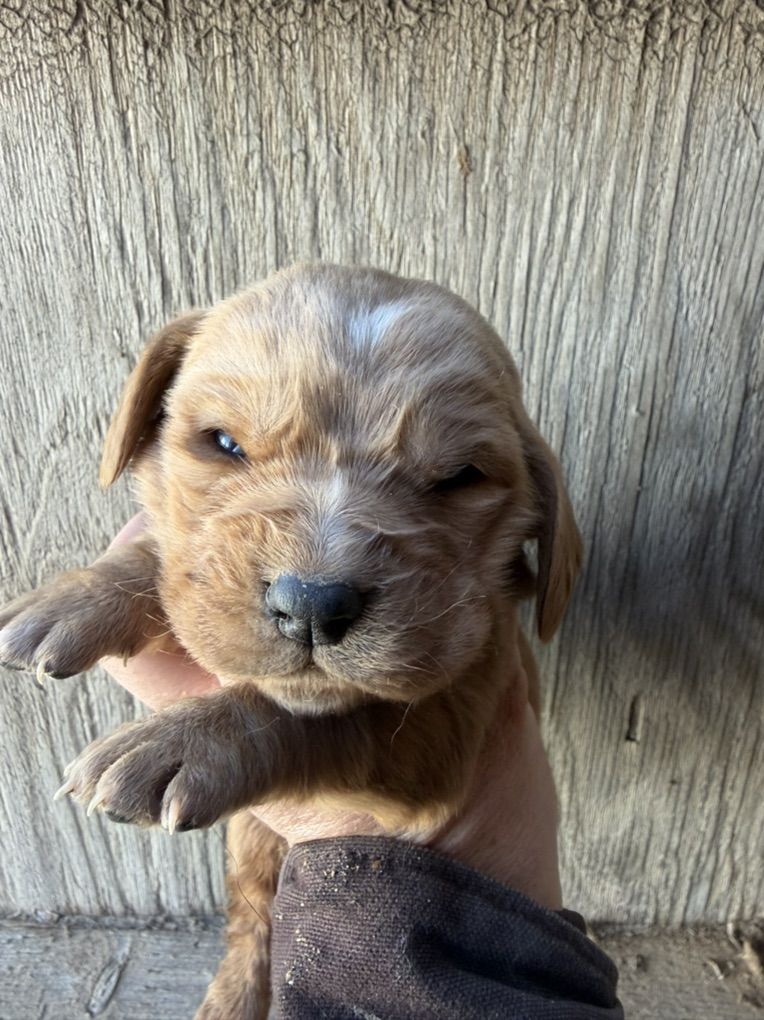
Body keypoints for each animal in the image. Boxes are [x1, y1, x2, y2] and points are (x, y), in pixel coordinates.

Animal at [0, 264, 581, 1018]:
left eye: (459, 478)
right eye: (225, 444)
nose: (311, 603)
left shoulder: (452, 724)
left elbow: (315, 719)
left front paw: (175, 744)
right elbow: (168, 561)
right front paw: (70, 600)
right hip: (249, 844)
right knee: (252, 921)